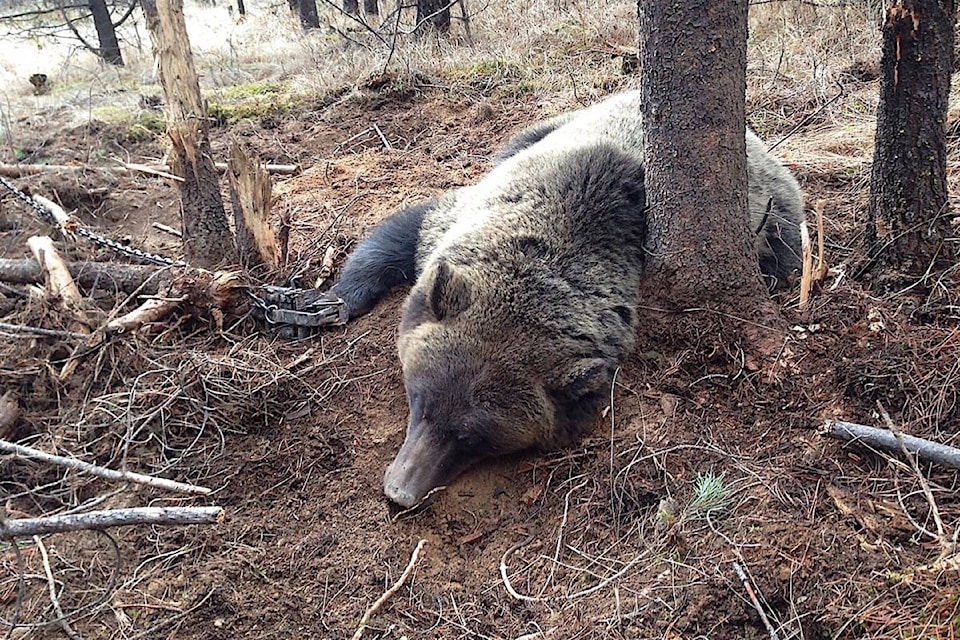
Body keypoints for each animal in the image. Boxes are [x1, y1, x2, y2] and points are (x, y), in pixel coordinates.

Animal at [330, 91, 804, 510]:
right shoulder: (470, 210)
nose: (400, 492)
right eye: (420, 401)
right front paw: (333, 301)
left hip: (775, 218)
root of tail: (753, 136)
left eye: (473, 437)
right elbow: (401, 233)